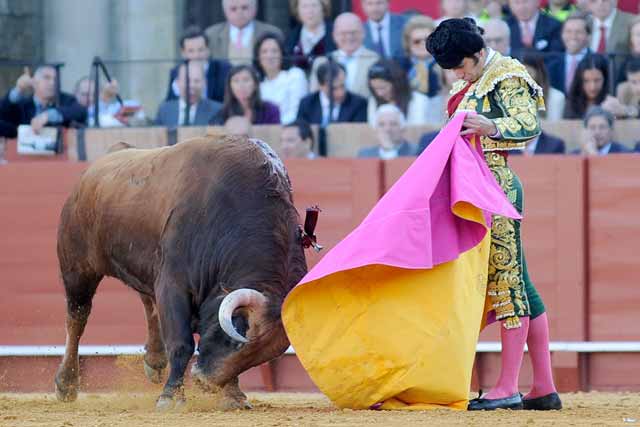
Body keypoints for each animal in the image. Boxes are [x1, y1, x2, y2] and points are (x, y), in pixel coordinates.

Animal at [53, 137, 308, 412]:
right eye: (238, 340)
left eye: (261, 356)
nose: (205, 382)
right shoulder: (172, 285)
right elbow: (181, 342)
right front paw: (171, 396)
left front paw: (233, 396)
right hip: (77, 268)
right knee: (77, 317)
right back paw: (66, 384)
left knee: (147, 301)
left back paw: (154, 361)